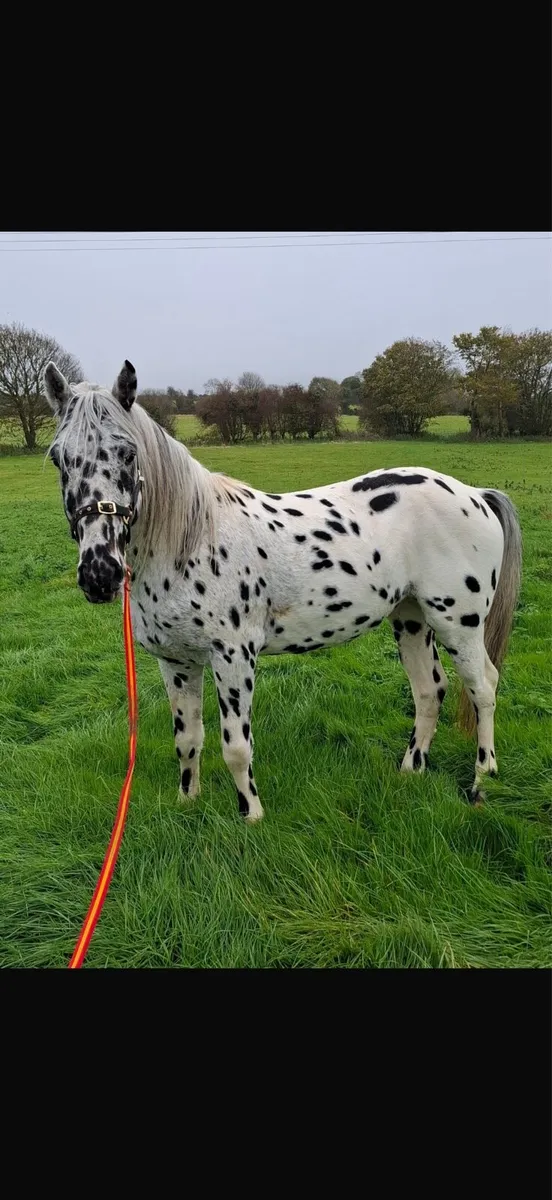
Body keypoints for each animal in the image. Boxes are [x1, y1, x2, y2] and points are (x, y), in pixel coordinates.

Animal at [43, 360, 522, 820]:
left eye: (128, 453)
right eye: (57, 458)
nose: (99, 573)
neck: (192, 540)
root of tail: (475, 494)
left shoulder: (234, 657)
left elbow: (236, 748)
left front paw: (251, 816)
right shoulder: (176, 662)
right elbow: (187, 740)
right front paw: (187, 803)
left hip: (458, 622)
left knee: (483, 687)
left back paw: (482, 780)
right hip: (411, 617)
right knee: (428, 690)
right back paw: (410, 770)